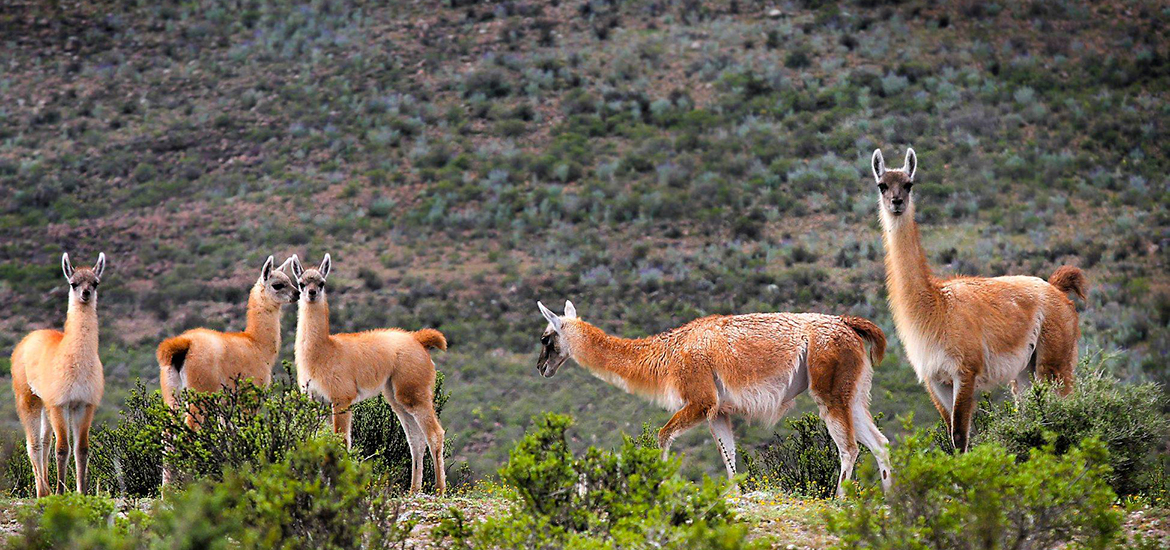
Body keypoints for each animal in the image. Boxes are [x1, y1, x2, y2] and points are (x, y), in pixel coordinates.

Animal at [11, 253, 107, 498]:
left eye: (95, 283)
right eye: (73, 283)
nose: (85, 293)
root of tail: (29, 337)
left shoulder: (84, 403)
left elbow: (81, 449)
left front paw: (82, 491)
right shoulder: (60, 402)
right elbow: (62, 448)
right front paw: (61, 491)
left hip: (45, 401)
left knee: (44, 442)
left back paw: (45, 487)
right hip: (27, 396)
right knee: (34, 444)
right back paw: (42, 490)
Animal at [290, 255, 449, 496]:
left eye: (321, 283)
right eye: (301, 283)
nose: (311, 293)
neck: (324, 352)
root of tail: (417, 339)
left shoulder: (342, 397)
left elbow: (341, 441)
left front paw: (338, 487)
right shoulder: (315, 399)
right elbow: (317, 440)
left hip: (414, 389)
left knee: (434, 434)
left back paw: (440, 490)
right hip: (395, 394)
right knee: (416, 440)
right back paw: (414, 489)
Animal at [535, 301, 889, 498]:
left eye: (546, 339)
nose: (541, 367)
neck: (668, 353)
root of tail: (848, 323)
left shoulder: (700, 399)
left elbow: (662, 437)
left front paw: (659, 484)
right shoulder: (718, 411)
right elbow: (728, 456)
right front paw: (733, 496)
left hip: (830, 388)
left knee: (850, 448)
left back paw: (839, 499)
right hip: (853, 392)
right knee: (880, 443)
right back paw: (892, 498)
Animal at [870, 146, 1085, 451]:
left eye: (908, 184)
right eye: (882, 185)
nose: (897, 202)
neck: (935, 307)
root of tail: (1055, 288)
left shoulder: (965, 370)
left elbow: (960, 436)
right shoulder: (934, 379)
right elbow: (951, 436)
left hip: (1056, 358)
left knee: (1067, 405)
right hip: (1025, 370)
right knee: (1033, 414)